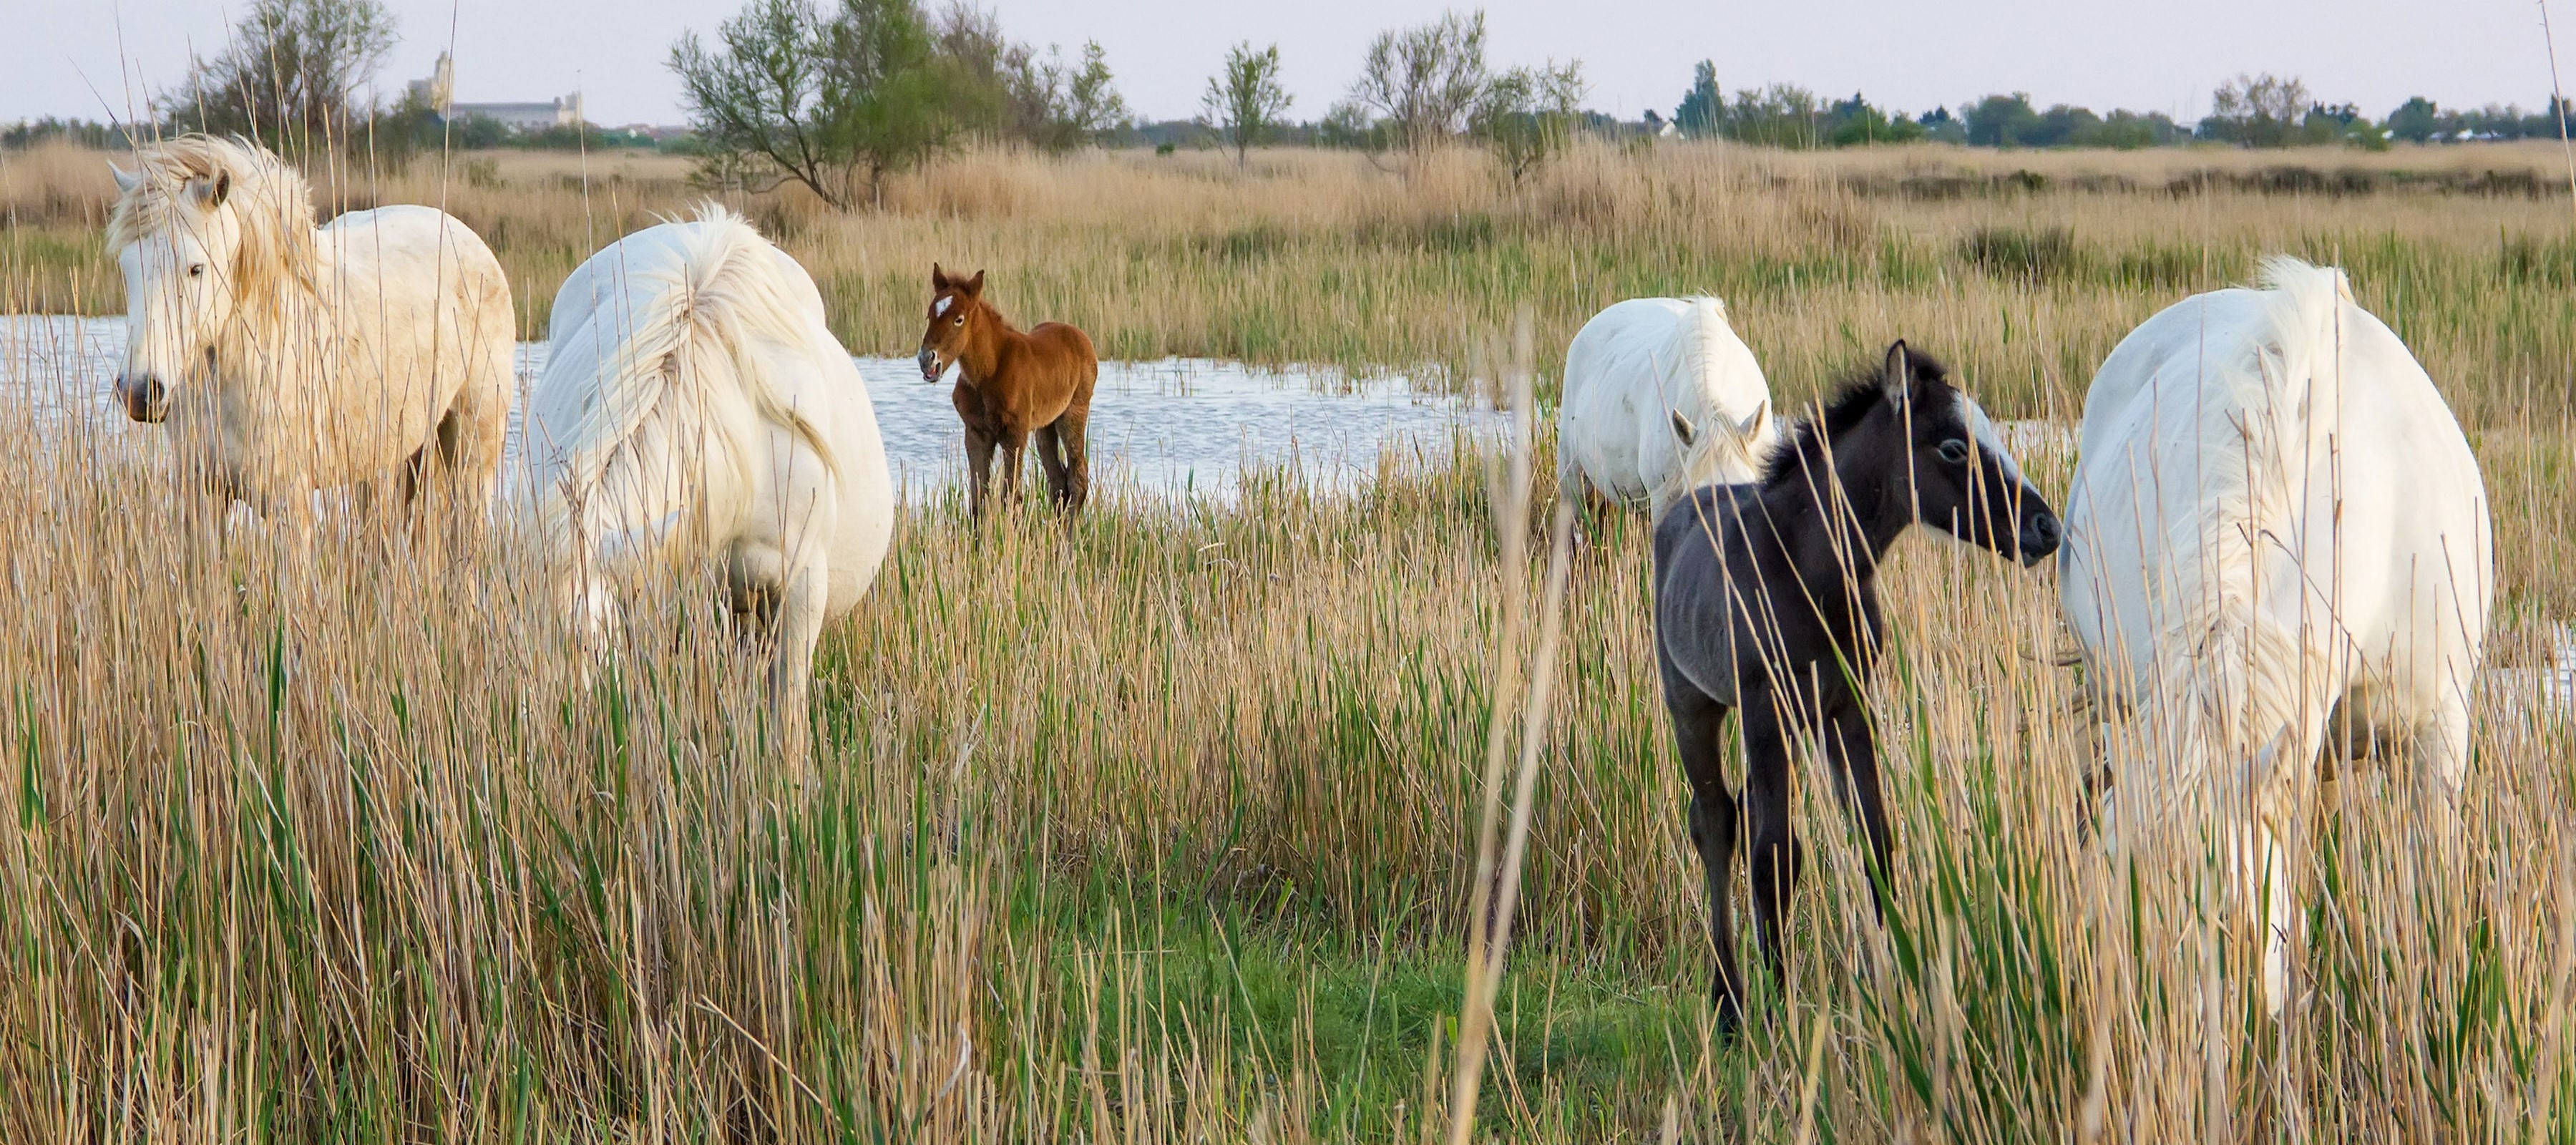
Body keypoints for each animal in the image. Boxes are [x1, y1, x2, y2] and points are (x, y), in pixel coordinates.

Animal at [107, 135, 513, 523]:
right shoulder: (199, 493)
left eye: (195, 268)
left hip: (471, 456)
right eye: (125, 267)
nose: (139, 391)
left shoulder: (290, 500)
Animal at [914, 265, 1098, 518]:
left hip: (1073, 413)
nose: (926, 359)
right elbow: (978, 500)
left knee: (1077, 479)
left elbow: (1012, 498)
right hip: (1045, 426)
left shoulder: (1015, 435)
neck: (988, 371)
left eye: (959, 319)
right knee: (1059, 484)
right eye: (930, 316)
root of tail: (1082, 338)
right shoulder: (976, 433)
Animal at [1653, 341, 2061, 1033]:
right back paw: (1730, 1002)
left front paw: (1896, 993)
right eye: (1952, 447)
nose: (2046, 527)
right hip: (1695, 708)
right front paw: (1778, 1014)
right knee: (1716, 823)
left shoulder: (1848, 707)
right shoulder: (1765, 704)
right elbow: (1774, 858)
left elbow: (1875, 840)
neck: (1810, 567)